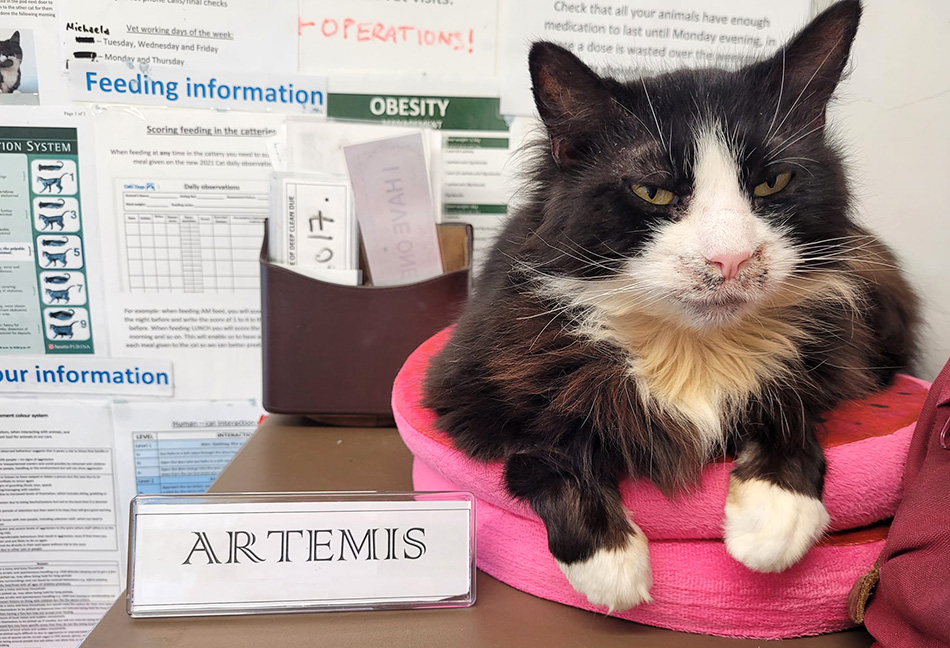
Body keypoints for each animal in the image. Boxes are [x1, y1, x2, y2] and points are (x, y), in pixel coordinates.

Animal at [424, 0, 924, 612]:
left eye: (774, 182)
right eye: (654, 192)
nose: (731, 259)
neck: (692, 348)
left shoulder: (830, 361)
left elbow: (791, 405)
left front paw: (774, 521)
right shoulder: (463, 394)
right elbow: (543, 452)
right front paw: (612, 563)